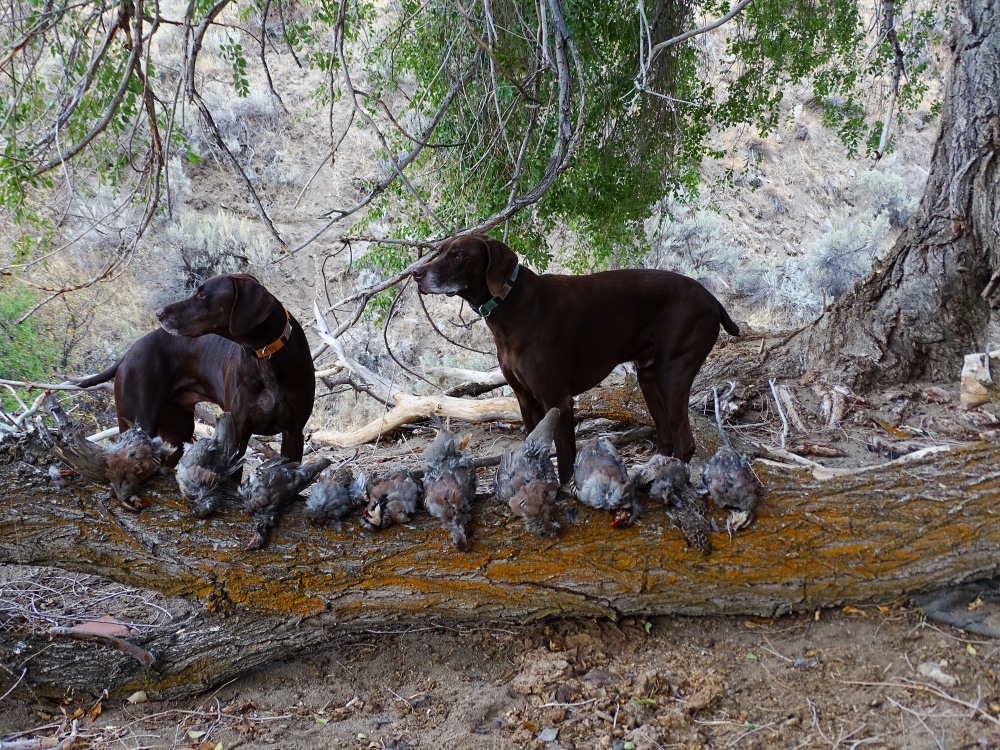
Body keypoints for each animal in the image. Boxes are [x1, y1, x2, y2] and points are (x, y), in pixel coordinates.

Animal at [72, 274, 315, 464]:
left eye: (202, 295)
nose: (159, 312)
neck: (265, 353)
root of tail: (130, 351)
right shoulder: (236, 435)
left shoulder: (293, 435)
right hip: (138, 423)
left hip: (177, 434)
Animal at [411, 234, 739, 485]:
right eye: (439, 251)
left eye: (459, 255)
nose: (416, 274)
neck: (511, 306)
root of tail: (711, 298)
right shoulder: (525, 401)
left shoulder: (558, 399)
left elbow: (566, 457)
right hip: (648, 377)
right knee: (667, 438)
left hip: (672, 374)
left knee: (685, 442)